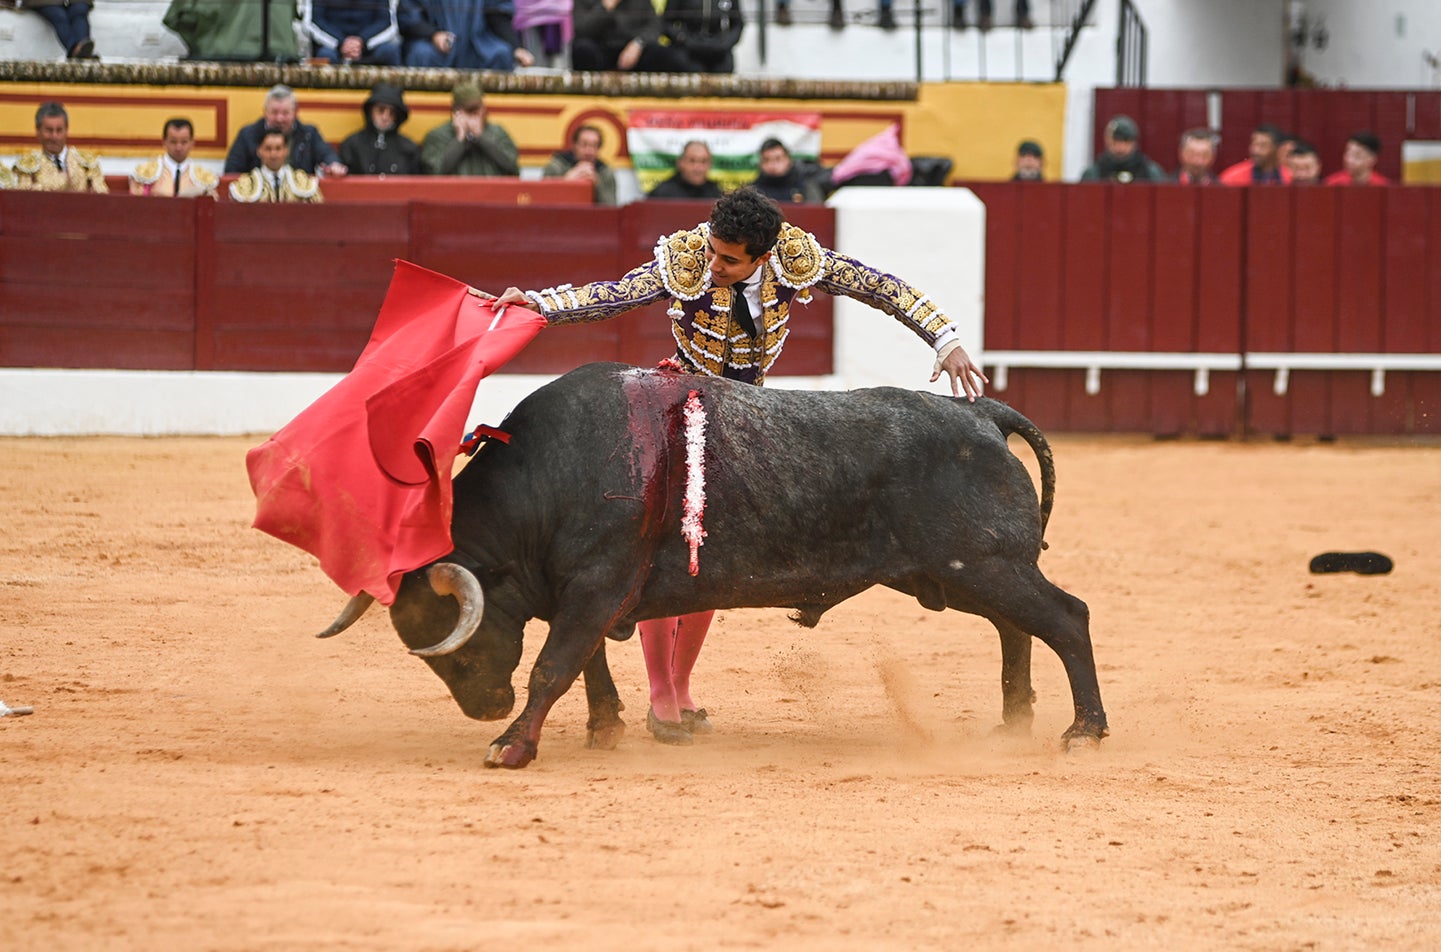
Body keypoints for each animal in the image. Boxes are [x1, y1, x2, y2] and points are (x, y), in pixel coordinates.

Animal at [329, 360, 1112, 766]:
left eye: (458, 649)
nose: (483, 706)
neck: (547, 477)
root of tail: (981, 414)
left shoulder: (593, 586)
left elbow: (555, 665)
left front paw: (510, 746)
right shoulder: (582, 593)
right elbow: (588, 664)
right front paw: (605, 727)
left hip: (984, 564)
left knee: (1066, 617)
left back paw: (1083, 731)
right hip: (957, 572)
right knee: (1016, 629)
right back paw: (1012, 723)